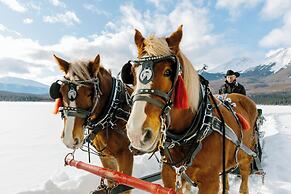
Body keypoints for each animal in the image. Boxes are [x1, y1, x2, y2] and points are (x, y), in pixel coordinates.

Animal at [50, 53, 135, 192]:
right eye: (60, 92)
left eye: (90, 93)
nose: (69, 139)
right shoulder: (105, 157)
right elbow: (111, 184)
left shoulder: (126, 156)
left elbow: (123, 188)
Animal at [122, 26, 264, 194]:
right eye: (132, 74)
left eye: (168, 72)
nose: (137, 133)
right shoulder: (170, 175)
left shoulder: (210, 181)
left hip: (245, 157)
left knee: (244, 178)